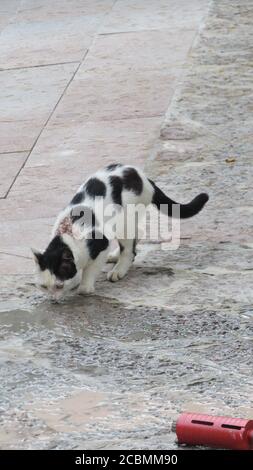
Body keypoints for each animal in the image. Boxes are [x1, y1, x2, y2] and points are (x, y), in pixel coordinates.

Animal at [32, 163, 209, 300]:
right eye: (44, 287)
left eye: (58, 286)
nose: (53, 299)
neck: (68, 234)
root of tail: (144, 177)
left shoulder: (100, 244)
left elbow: (91, 268)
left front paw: (85, 287)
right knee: (137, 234)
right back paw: (116, 256)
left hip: (125, 219)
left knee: (130, 250)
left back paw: (118, 270)